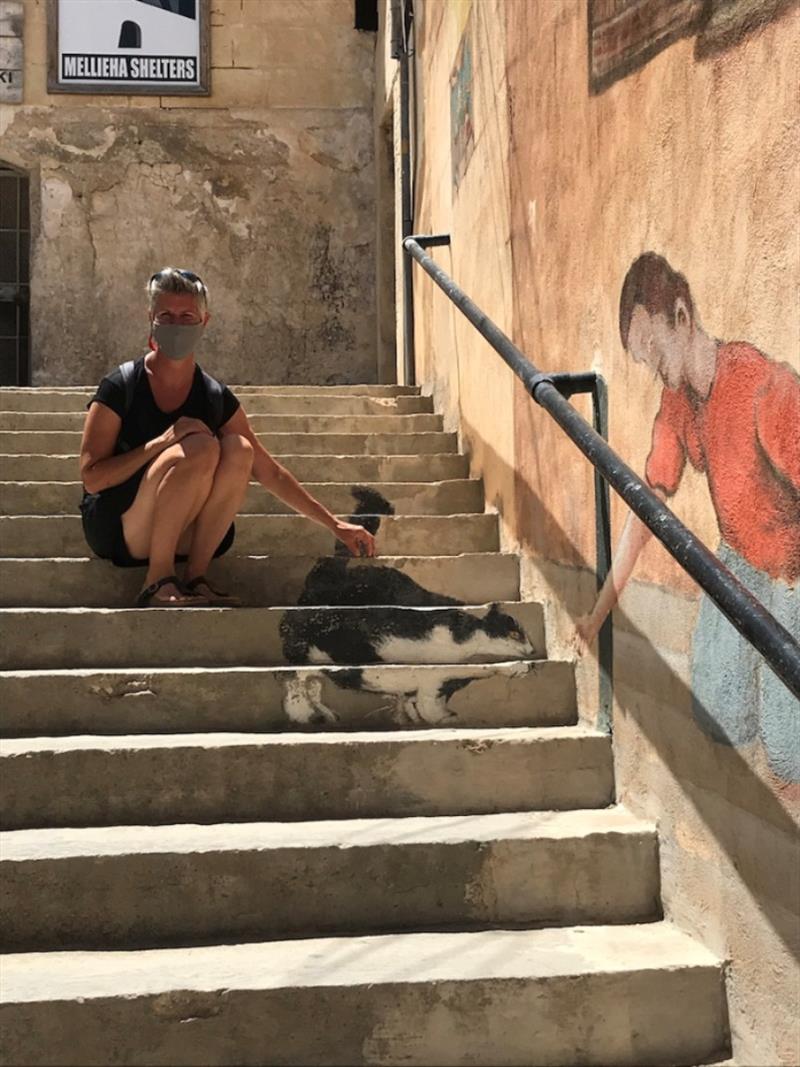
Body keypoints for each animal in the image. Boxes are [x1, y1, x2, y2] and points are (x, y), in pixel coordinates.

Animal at [279, 488, 535, 725]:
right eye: (515, 633)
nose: (532, 650)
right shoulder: (437, 671)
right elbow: (446, 692)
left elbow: (423, 700)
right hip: (310, 643)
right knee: (296, 679)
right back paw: (301, 711)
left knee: (313, 684)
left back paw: (325, 714)